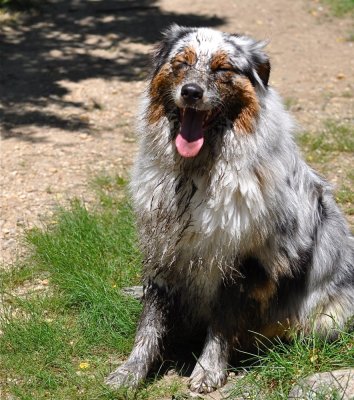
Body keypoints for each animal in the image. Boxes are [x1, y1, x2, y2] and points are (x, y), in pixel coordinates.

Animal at [106, 25, 354, 394]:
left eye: (223, 69)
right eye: (182, 63)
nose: (191, 92)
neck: (196, 174)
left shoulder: (241, 261)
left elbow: (222, 325)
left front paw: (208, 371)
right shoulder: (163, 250)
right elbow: (148, 325)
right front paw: (130, 371)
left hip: (329, 316)